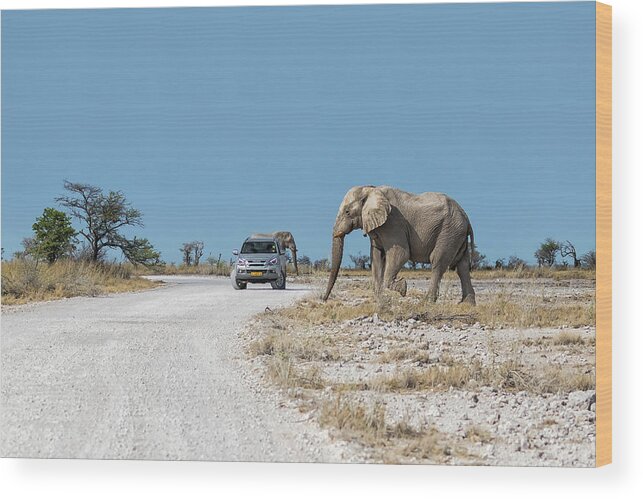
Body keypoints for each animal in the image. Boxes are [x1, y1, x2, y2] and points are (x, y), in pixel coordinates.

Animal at [324, 187, 476, 306]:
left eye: (347, 212)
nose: (323, 299)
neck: (371, 190)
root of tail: (467, 218)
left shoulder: (393, 222)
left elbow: (401, 254)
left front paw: (403, 287)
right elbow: (376, 257)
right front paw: (381, 302)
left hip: (449, 232)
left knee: (438, 262)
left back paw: (426, 303)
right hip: (456, 234)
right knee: (462, 266)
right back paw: (467, 304)